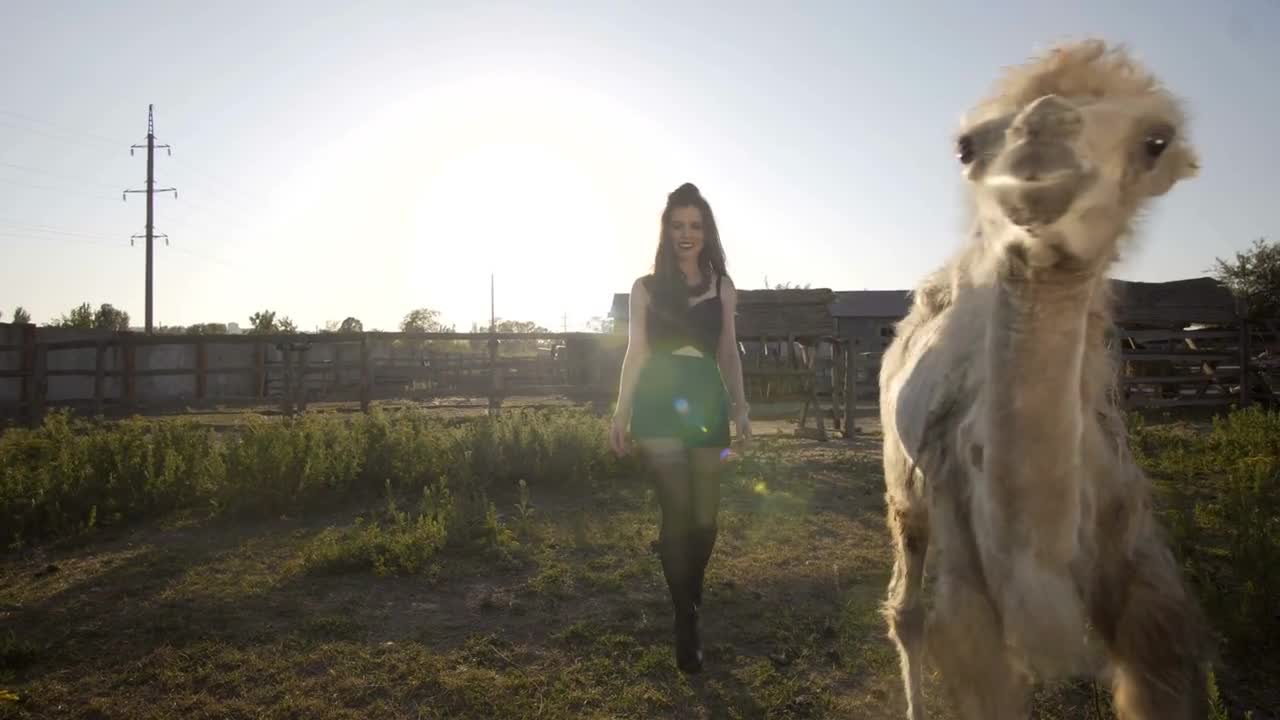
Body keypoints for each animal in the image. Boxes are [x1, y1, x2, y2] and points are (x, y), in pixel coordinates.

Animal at [875, 40, 1213, 717]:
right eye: (967, 146)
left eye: (1155, 141)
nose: (1041, 150)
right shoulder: (971, 605)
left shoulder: (1142, 582)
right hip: (905, 485)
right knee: (907, 610)